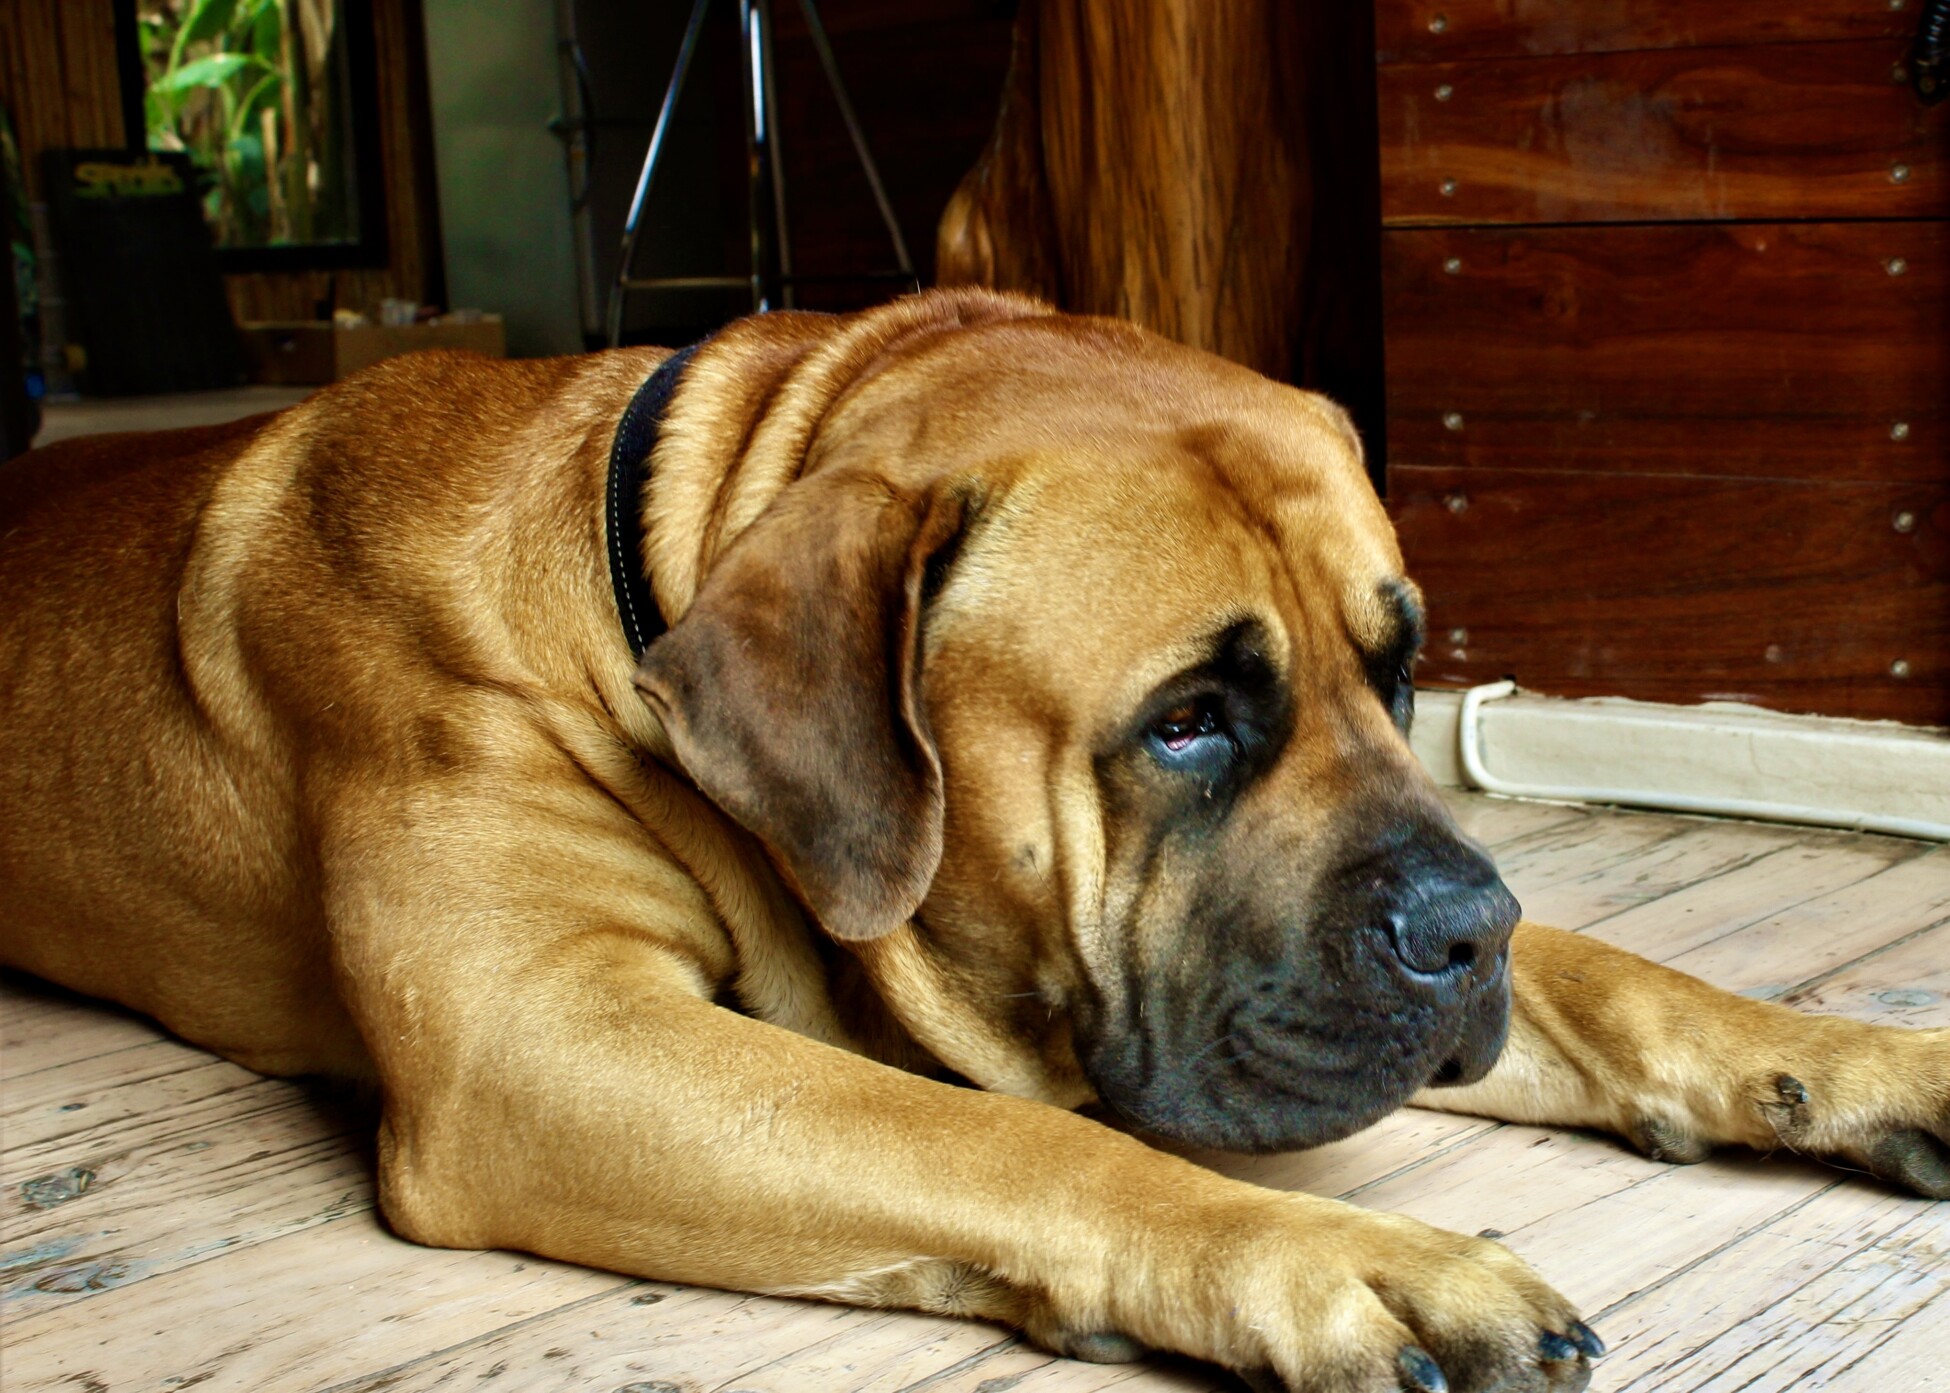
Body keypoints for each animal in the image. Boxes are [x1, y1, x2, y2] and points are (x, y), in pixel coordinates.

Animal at [3, 286, 1950, 1381]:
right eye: (1186, 720)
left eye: (1397, 669)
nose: (1466, 933)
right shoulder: (538, 1041)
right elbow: (1016, 1142)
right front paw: (1338, 1261)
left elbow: (1631, 979)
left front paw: (1859, 1059)